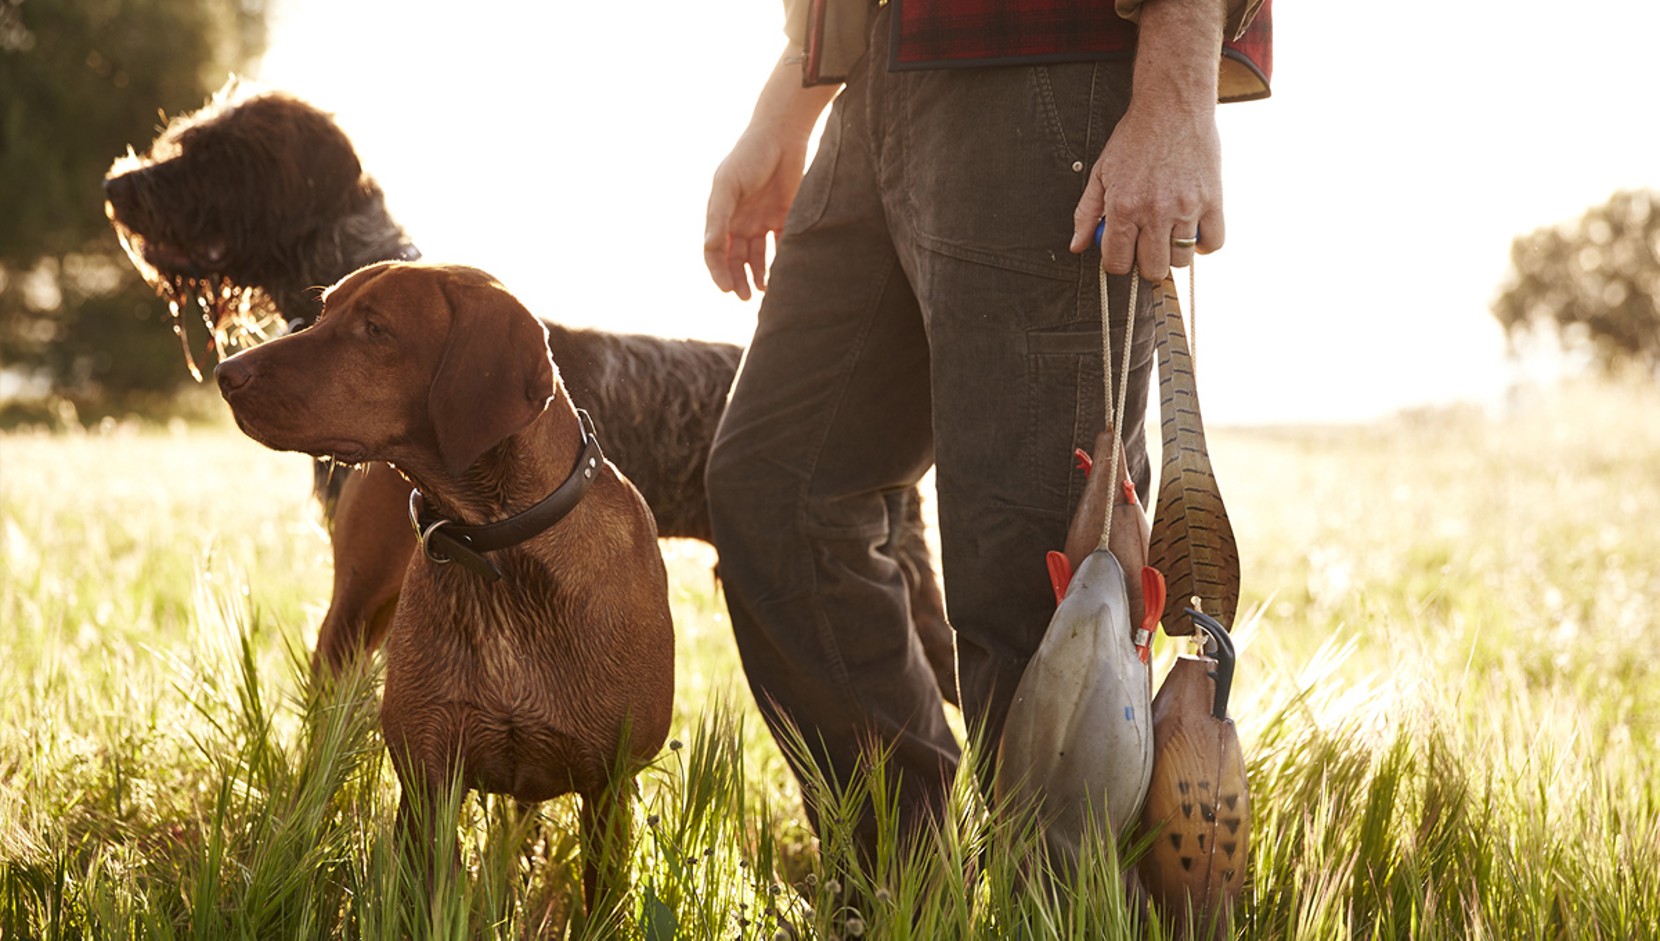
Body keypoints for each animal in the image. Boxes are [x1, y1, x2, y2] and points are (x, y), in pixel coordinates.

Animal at [215, 263, 673, 902]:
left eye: (375, 329)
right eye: (326, 311)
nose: (225, 373)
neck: (497, 547)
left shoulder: (608, 784)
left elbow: (602, 900)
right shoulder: (427, 774)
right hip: (346, 629)